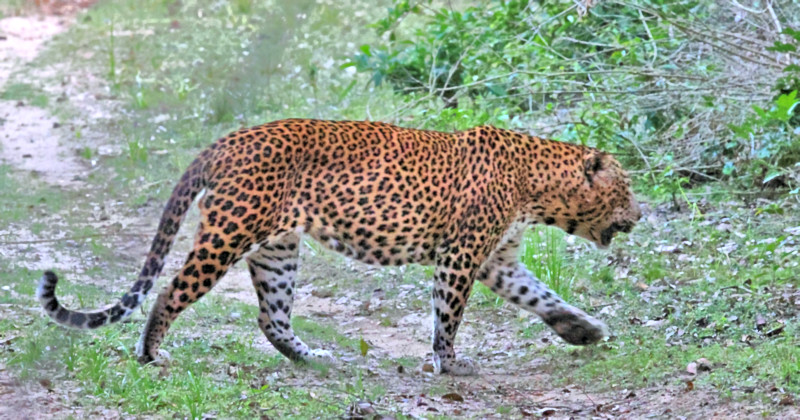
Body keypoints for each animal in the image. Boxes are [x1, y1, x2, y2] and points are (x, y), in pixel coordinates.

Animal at [37, 117, 640, 374]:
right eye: (628, 187)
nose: (641, 214)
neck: (536, 184)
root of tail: (225, 141)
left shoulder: (495, 259)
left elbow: (540, 296)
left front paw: (583, 331)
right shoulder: (462, 255)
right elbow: (448, 314)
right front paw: (449, 363)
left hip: (277, 249)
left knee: (272, 317)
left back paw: (313, 358)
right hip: (229, 234)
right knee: (171, 290)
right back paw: (150, 353)